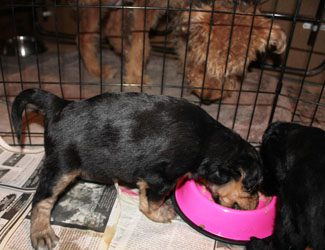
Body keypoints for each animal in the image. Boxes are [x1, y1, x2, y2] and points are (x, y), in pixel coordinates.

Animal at [12, 89, 260, 249]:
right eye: (250, 188)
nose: (257, 203)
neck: (208, 144)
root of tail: (60, 105)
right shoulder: (160, 178)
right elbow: (151, 203)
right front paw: (162, 213)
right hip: (62, 166)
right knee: (42, 198)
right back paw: (41, 233)